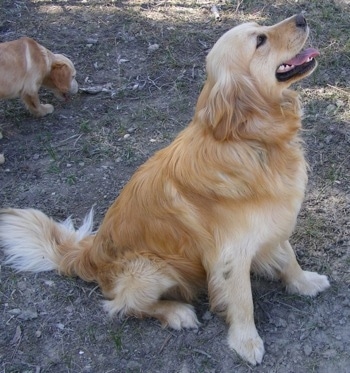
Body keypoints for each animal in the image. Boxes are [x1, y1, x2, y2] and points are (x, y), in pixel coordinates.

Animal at [0, 14, 330, 364]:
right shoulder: (230, 255)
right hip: (151, 270)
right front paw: (247, 342)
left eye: (262, 29)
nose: (301, 18)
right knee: (122, 305)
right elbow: (243, 301)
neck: (251, 140)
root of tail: (86, 254)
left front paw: (305, 283)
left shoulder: (272, 221)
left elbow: (288, 257)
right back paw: (176, 313)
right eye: (260, 41)